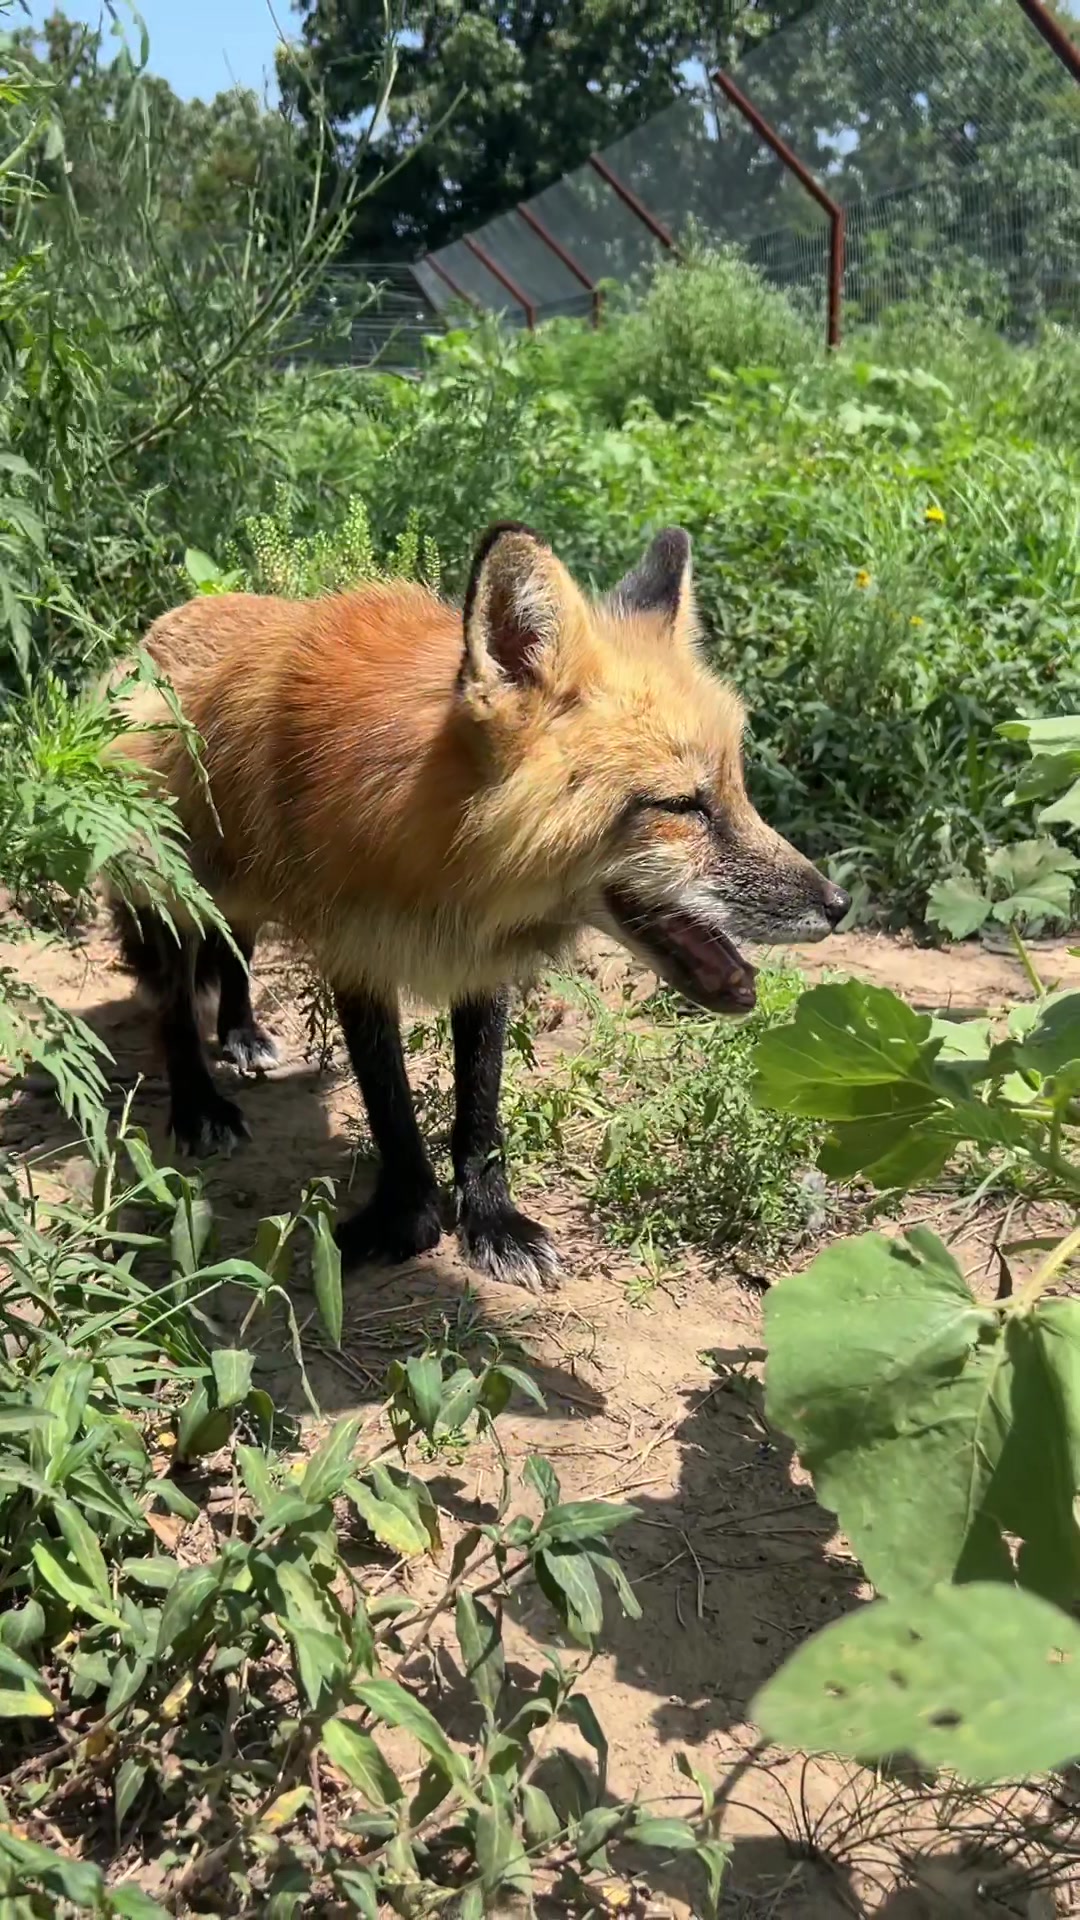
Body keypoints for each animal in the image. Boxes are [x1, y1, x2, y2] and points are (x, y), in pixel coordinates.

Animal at [105, 521, 849, 1290]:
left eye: (738, 789)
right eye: (681, 805)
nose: (838, 904)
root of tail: (173, 615)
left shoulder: (481, 959)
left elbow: (481, 1106)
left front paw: (491, 1221)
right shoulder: (356, 949)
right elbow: (390, 1104)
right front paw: (405, 1219)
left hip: (237, 895)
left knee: (236, 950)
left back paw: (242, 1031)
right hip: (170, 891)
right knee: (173, 1004)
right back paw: (198, 1104)